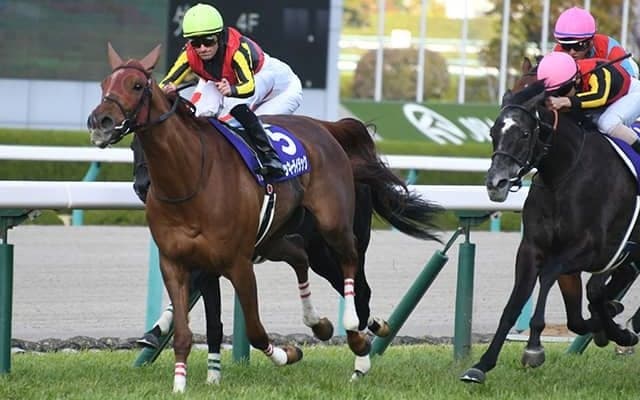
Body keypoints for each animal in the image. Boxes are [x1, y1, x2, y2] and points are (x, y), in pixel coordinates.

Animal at [88, 44, 441, 393]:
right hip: (279, 239)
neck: (191, 179)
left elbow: (255, 331)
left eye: (137, 85)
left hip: (333, 231)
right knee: (302, 259)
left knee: (356, 281)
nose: (100, 121)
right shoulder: (177, 262)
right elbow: (192, 329)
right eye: (104, 84)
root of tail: (327, 129)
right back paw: (326, 326)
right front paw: (184, 380)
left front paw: (287, 354)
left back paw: (358, 348)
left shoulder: (237, 263)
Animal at [460, 79, 640, 384]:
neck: (564, 174)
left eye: (523, 133)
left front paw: (533, 349)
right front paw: (482, 364)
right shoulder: (532, 248)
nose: (496, 184)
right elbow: (525, 305)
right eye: (493, 132)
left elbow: (549, 278)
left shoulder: (590, 250)